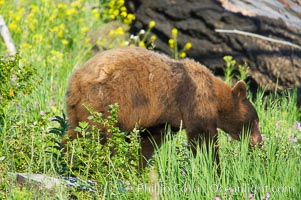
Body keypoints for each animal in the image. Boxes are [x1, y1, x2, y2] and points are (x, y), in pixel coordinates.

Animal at [62, 46, 262, 167]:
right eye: (256, 121)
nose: (259, 141)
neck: (216, 98)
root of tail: (78, 78)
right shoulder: (195, 101)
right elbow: (202, 138)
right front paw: (212, 166)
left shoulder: (162, 117)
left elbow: (149, 140)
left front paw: (137, 165)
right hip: (107, 101)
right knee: (99, 134)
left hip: (78, 107)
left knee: (78, 131)